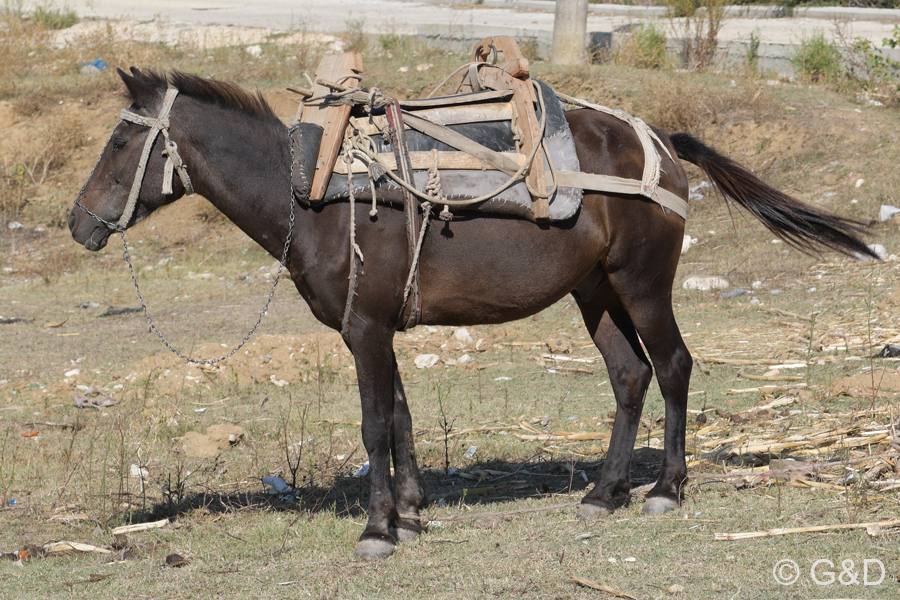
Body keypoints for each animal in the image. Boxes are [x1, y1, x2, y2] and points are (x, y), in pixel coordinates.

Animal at [70, 68, 872, 560]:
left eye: (121, 140)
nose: (79, 224)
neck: (315, 189)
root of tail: (660, 142)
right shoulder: (375, 330)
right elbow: (399, 417)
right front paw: (411, 512)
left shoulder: (366, 330)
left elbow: (374, 423)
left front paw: (377, 529)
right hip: (595, 293)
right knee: (629, 377)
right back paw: (605, 493)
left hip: (641, 284)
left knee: (672, 367)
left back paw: (666, 490)